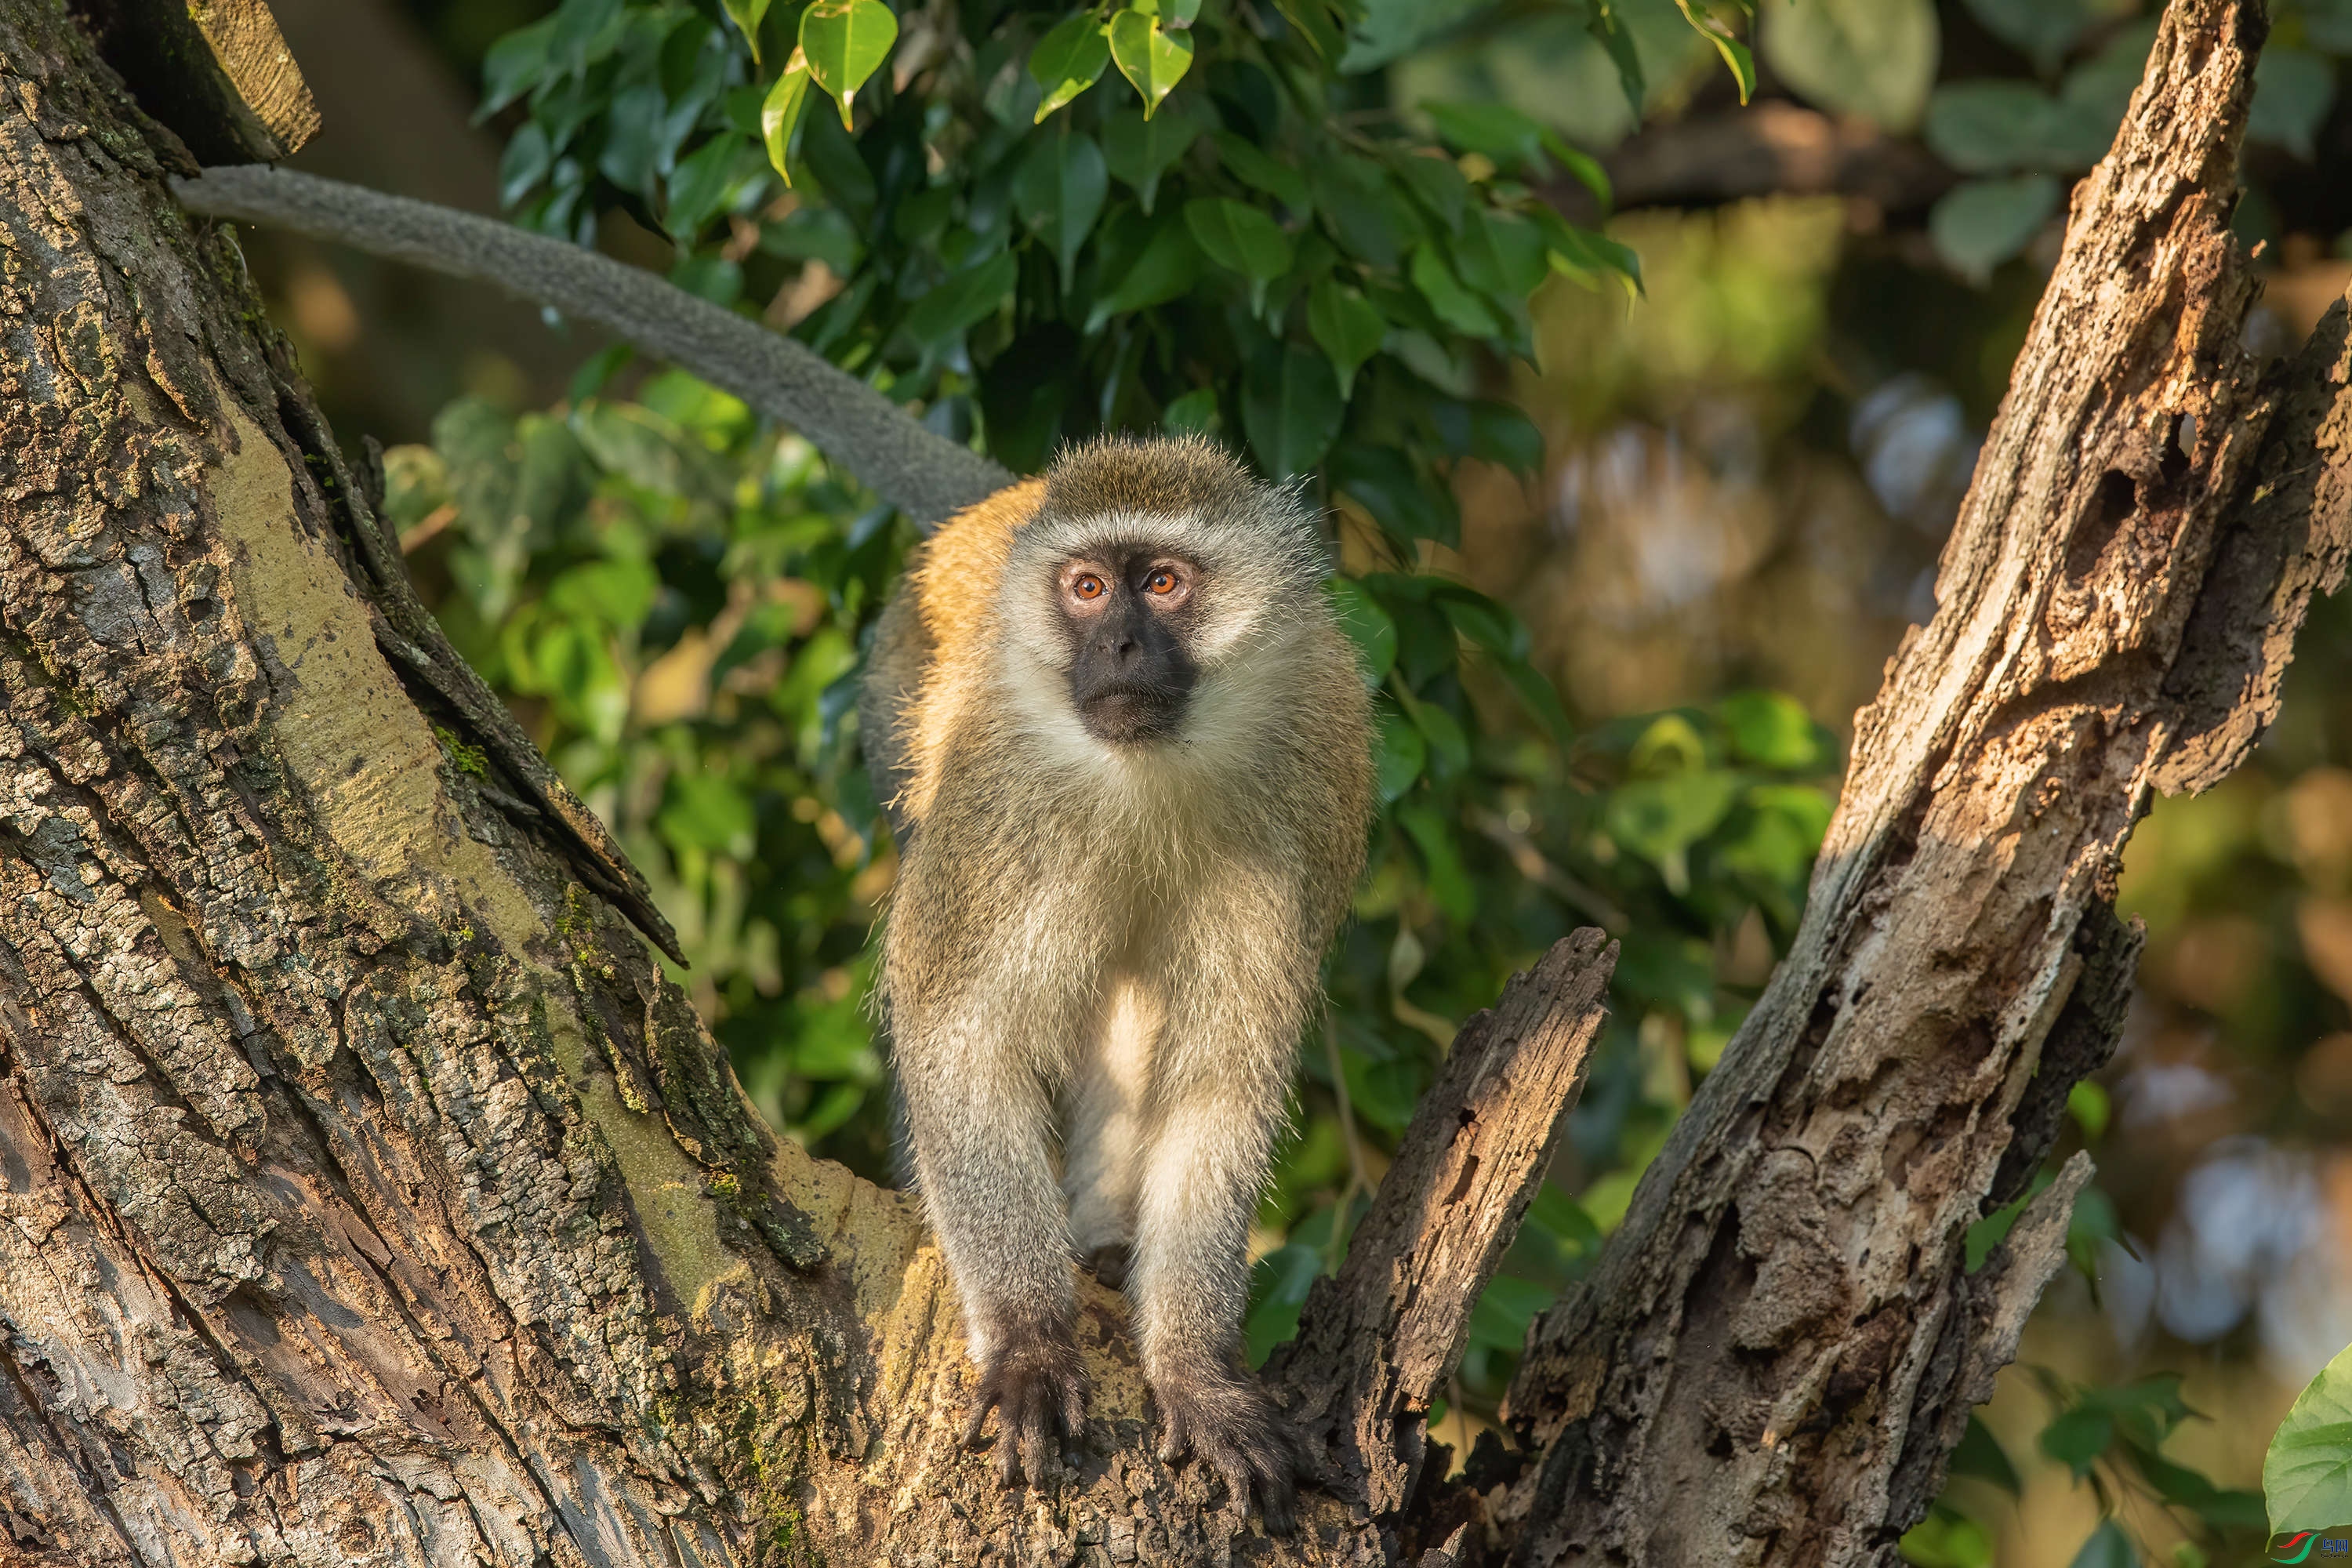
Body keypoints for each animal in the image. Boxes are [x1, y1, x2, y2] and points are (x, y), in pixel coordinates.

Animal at [866, 434, 1374, 1523]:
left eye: (1165, 583)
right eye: (1090, 588)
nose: (1123, 649)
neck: (1150, 775)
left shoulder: (1304, 788)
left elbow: (1221, 1081)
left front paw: (1192, 1369)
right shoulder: (998, 801)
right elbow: (959, 1036)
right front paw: (1027, 1340)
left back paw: (1104, 1245)